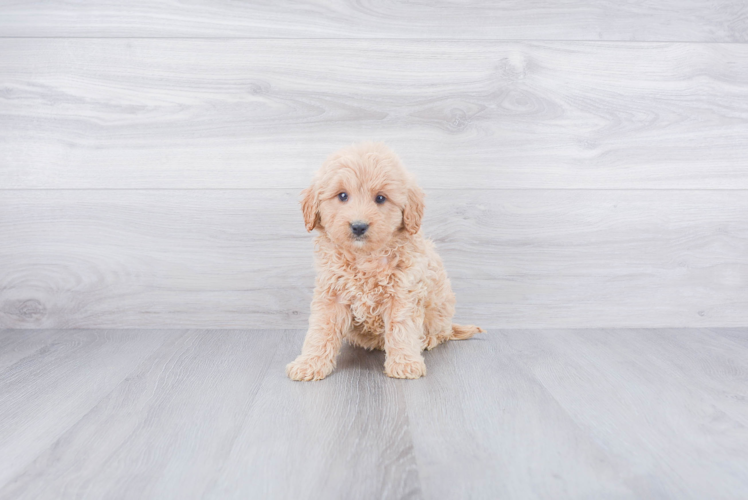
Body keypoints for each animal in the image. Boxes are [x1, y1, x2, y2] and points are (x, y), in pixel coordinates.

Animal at [286, 143, 486, 380]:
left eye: (381, 198)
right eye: (342, 196)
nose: (359, 226)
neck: (364, 257)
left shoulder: (403, 293)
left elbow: (401, 328)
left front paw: (405, 363)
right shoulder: (331, 293)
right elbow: (321, 329)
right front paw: (310, 363)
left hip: (440, 310)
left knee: (441, 332)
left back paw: (427, 339)